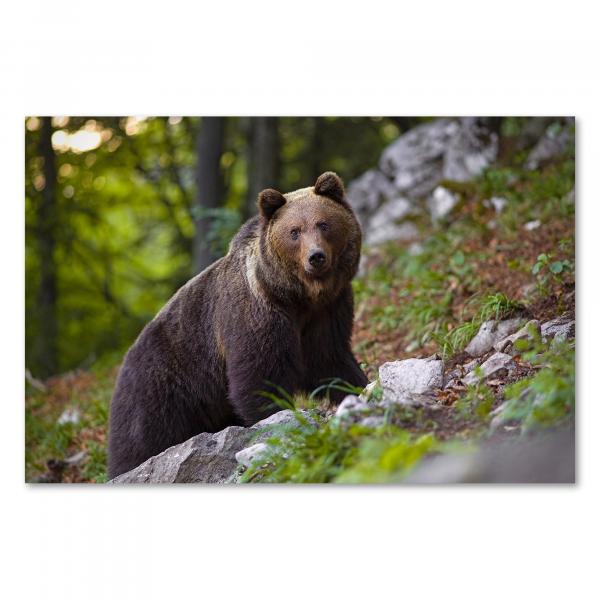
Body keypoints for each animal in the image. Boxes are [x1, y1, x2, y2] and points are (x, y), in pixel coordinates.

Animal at [109, 171, 368, 476]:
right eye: (294, 231)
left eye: (323, 224)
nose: (315, 256)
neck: (297, 296)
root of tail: (123, 363)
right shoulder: (256, 314)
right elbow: (260, 374)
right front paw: (274, 419)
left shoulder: (327, 311)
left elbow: (330, 359)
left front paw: (358, 387)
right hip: (159, 389)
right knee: (141, 441)